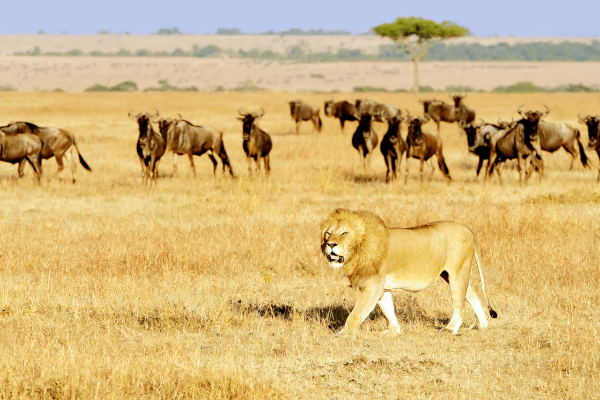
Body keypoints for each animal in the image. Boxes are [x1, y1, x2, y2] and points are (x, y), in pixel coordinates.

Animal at [322, 208, 500, 336]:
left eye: (344, 233)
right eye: (328, 233)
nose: (330, 244)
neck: (358, 251)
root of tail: (468, 229)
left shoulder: (373, 285)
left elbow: (357, 313)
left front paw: (344, 333)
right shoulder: (382, 287)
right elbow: (388, 310)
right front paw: (394, 331)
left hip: (457, 272)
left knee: (459, 306)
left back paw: (450, 329)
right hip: (451, 275)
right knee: (472, 294)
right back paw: (483, 324)